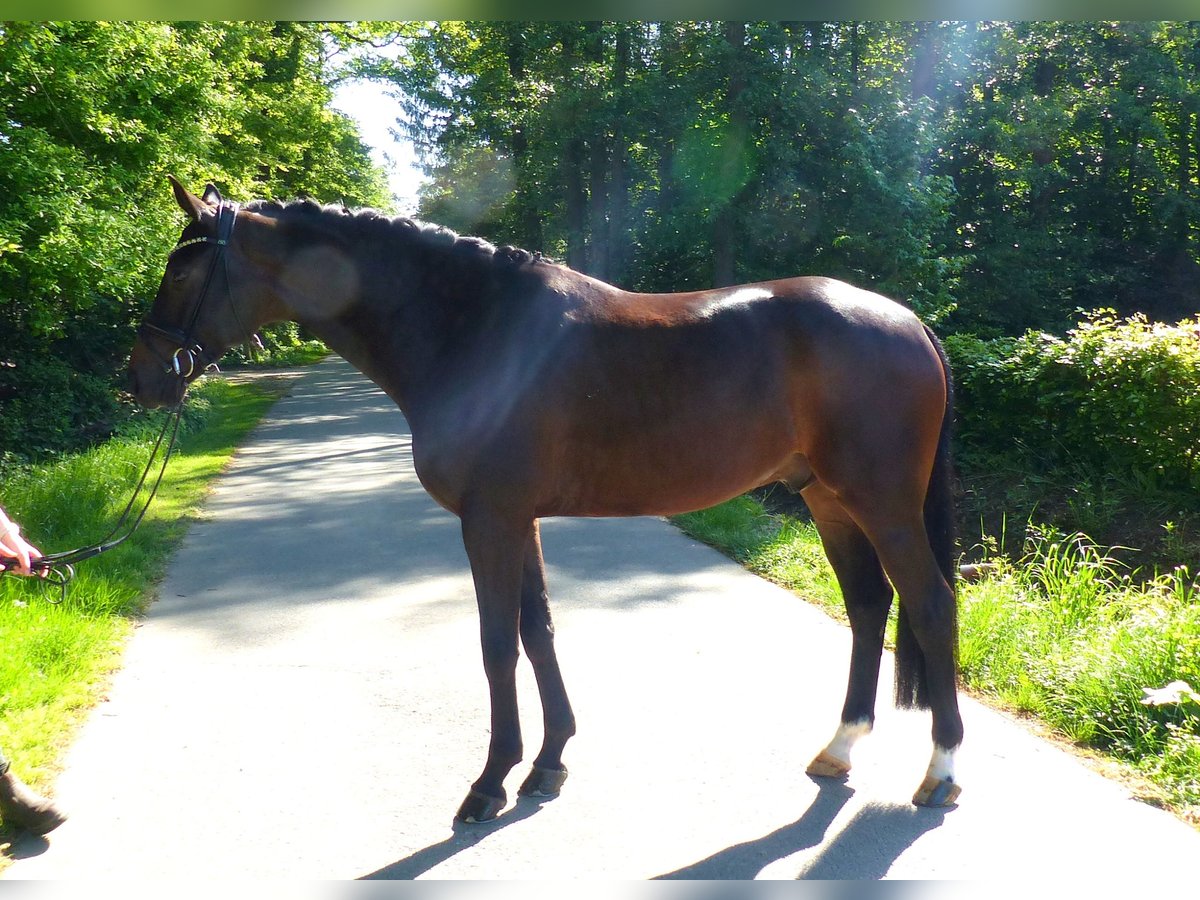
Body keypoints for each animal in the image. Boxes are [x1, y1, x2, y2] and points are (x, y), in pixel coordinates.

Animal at [126, 177, 960, 825]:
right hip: (829, 501)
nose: (141, 378)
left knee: (928, 604)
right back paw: (840, 748)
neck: (471, 329)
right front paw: (549, 762)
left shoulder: (489, 521)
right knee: (868, 606)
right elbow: (539, 631)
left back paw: (941, 771)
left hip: (882, 504)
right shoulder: (515, 518)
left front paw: (490, 782)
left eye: (181, 273)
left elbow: (498, 643)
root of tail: (910, 321)